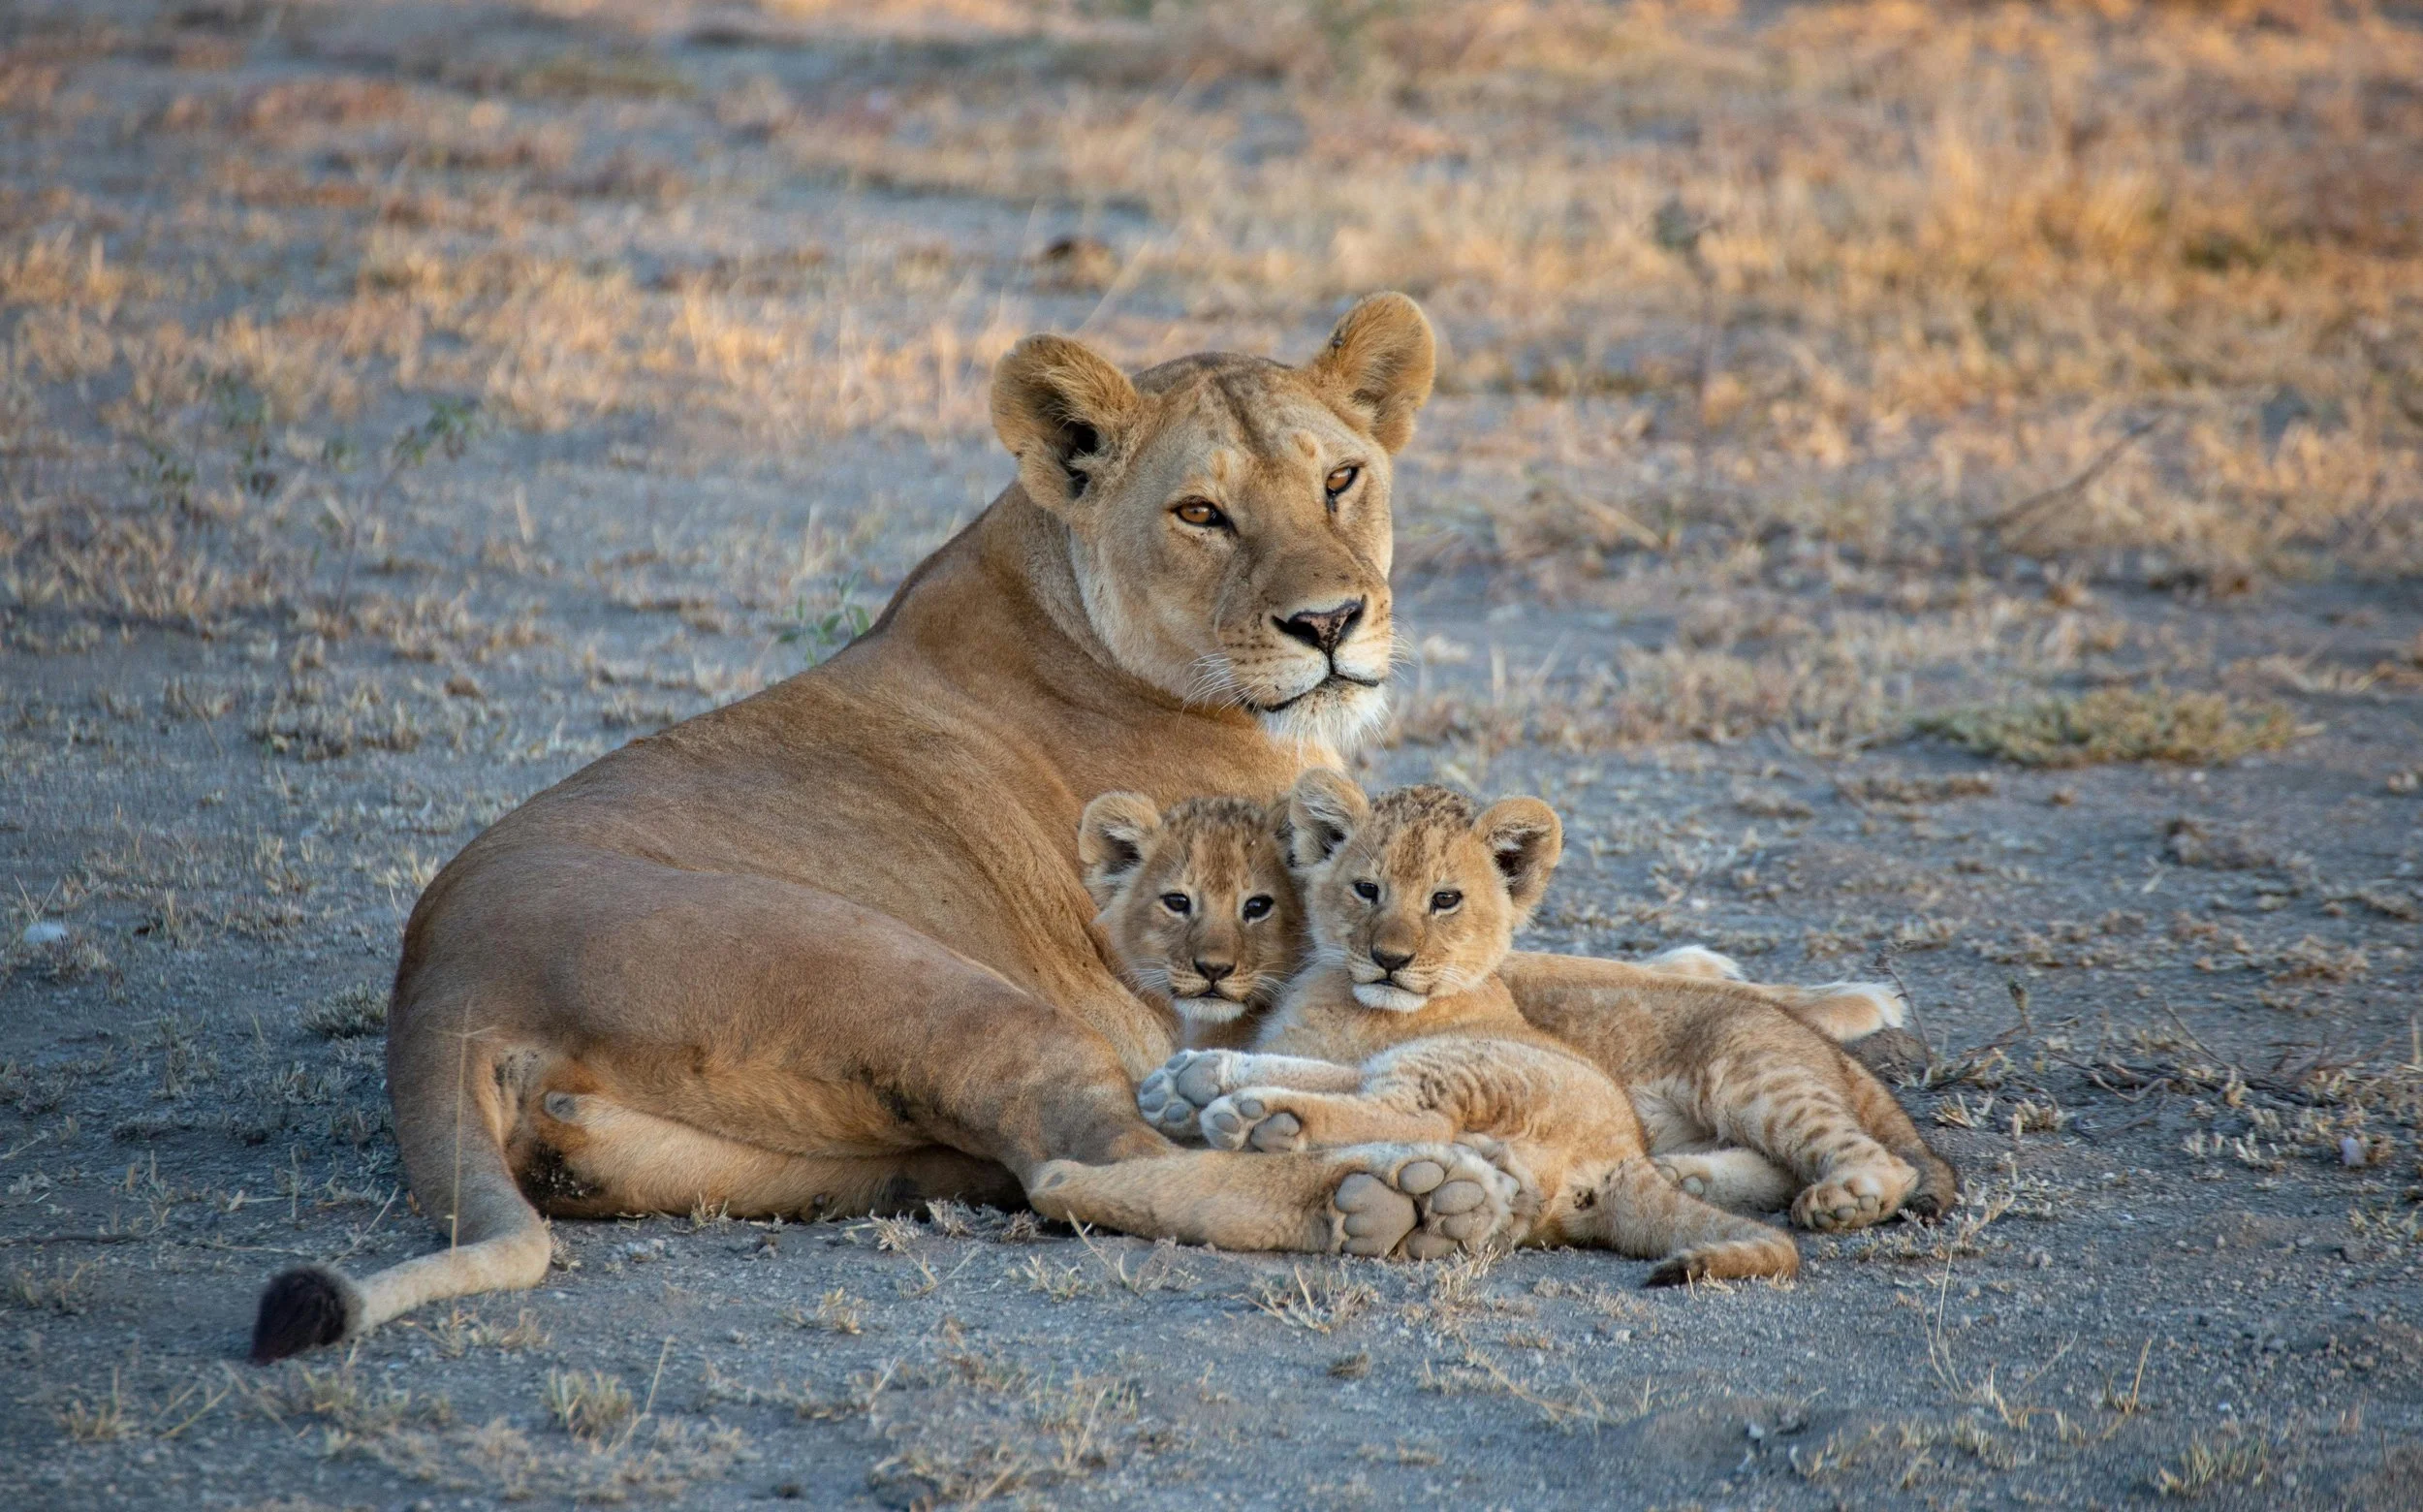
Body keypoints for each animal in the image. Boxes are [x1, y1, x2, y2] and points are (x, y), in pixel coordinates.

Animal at [1045, 773, 1800, 1280]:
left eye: (1445, 900)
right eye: (1367, 889)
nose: (1390, 958)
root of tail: (1628, 1159)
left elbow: (1345, 1081)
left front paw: (1204, 1089)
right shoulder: (1327, 1044)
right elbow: (1316, 1065)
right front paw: (1186, 1082)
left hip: (1467, 1066)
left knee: (1413, 1117)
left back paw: (1264, 1119)